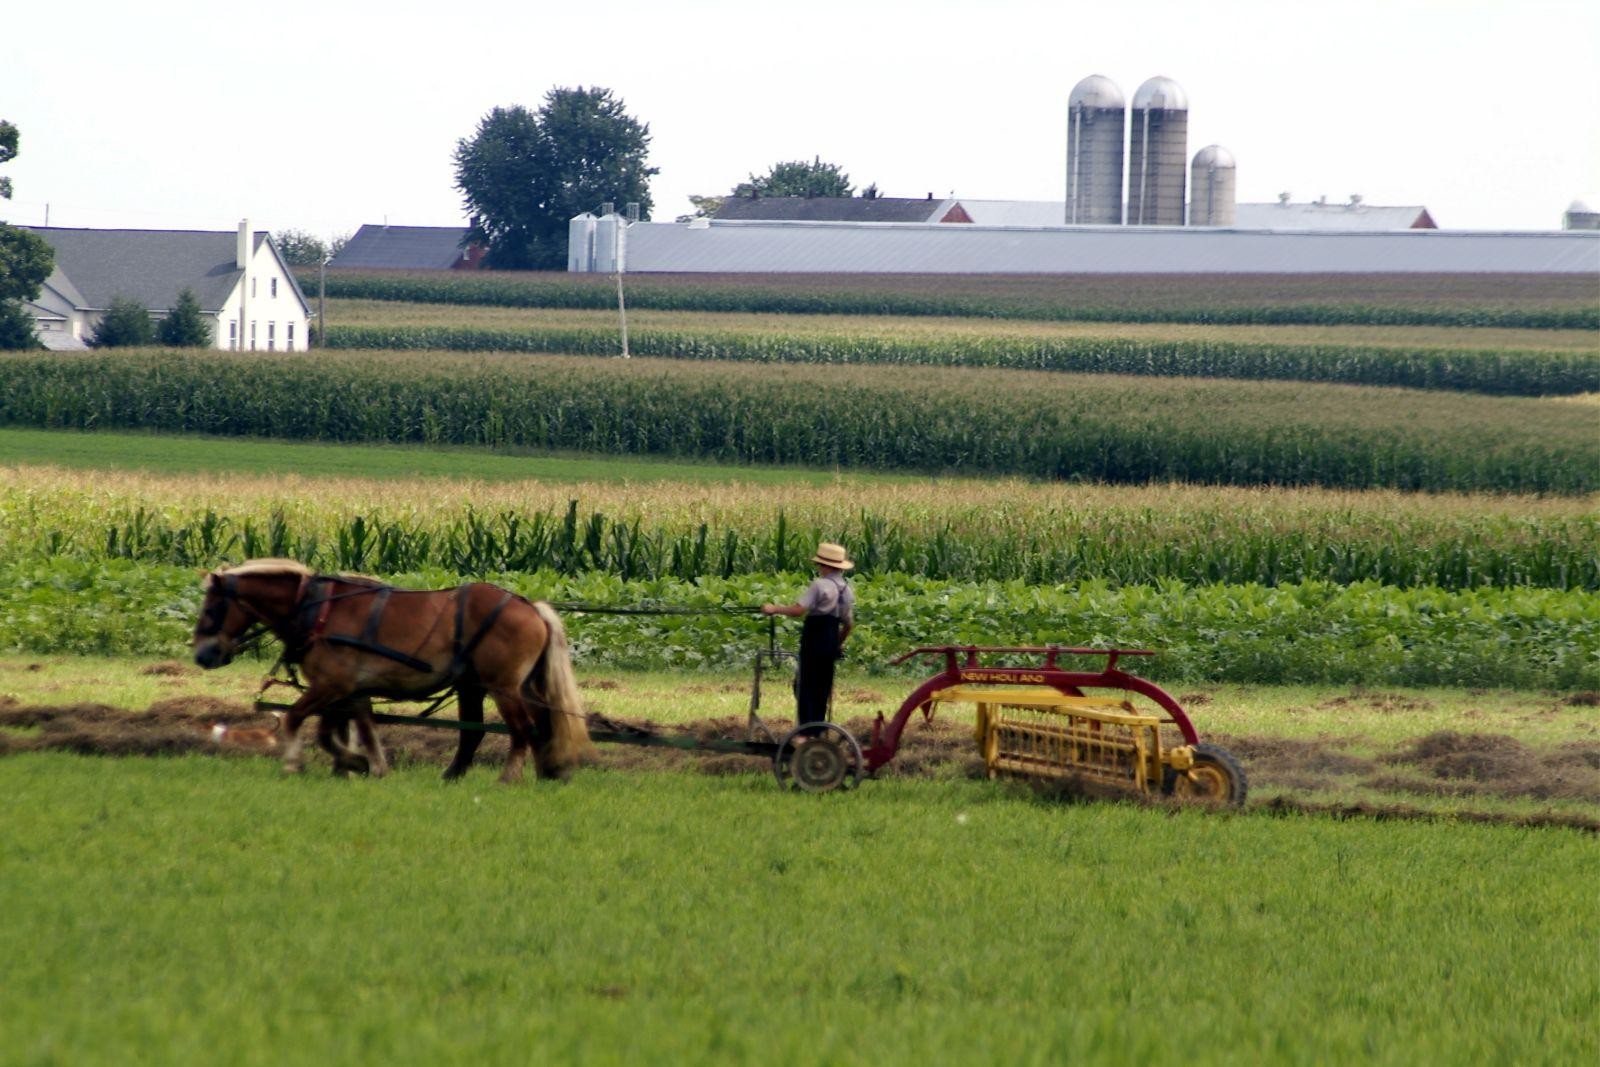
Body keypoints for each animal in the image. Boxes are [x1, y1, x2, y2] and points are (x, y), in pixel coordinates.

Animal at [192, 559, 595, 783]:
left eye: (211, 608)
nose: (201, 655)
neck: (316, 609)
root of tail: (530, 606)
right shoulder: (351, 691)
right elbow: (356, 731)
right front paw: (365, 765)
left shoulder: (331, 685)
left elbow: (296, 719)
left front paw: (296, 764)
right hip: (481, 685)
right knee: (506, 729)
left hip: (503, 686)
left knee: (522, 729)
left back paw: (509, 778)